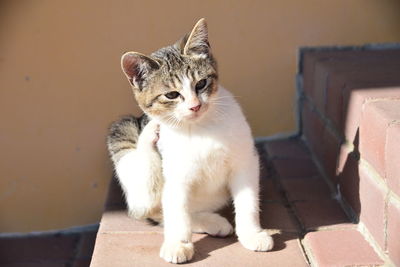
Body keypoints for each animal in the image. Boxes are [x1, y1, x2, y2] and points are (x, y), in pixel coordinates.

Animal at [106, 18, 274, 264]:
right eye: (172, 95)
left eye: (201, 83)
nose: (195, 106)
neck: (201, 128)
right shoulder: (176, 177)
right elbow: (176, 212)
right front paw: (178, 244)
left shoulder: (245, 161)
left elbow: (247, 200)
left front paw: (252, 233)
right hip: (123, 132)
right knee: (151, 207)